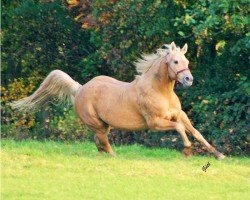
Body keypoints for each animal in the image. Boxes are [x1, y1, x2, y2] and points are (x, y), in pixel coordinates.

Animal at [11, 41, 227, 159]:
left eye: (187, 61)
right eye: (175, 61)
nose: (189, 79)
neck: (160, 91)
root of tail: (80, 89)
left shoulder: (179, 115)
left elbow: (196, 132)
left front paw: (219, 155)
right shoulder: (155, 123)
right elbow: (181, 129)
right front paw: (187, 151)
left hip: (104, 125)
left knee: (98, 143)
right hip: (97, 124)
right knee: (104, 142)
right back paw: (115, 157)